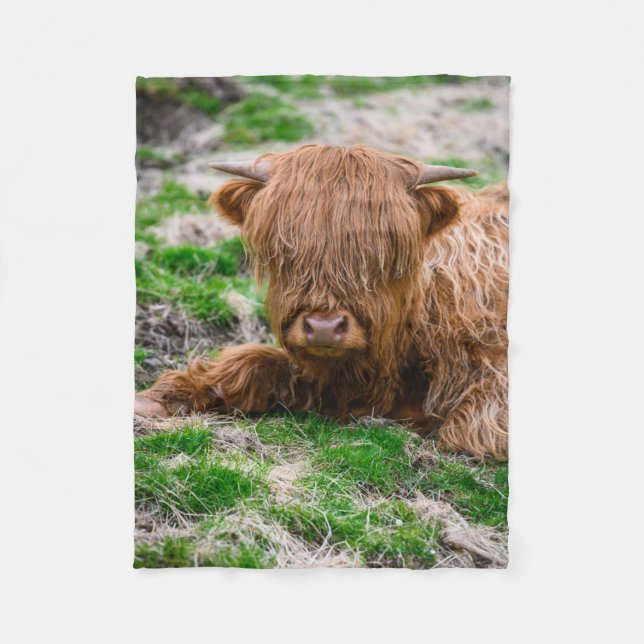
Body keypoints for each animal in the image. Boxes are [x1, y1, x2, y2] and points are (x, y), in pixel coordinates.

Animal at [135, 144, 509, 460]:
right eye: (285, 251)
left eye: (382, 254)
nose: (324, 328)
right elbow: (251, 362)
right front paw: (158, 399)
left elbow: (467, 430)